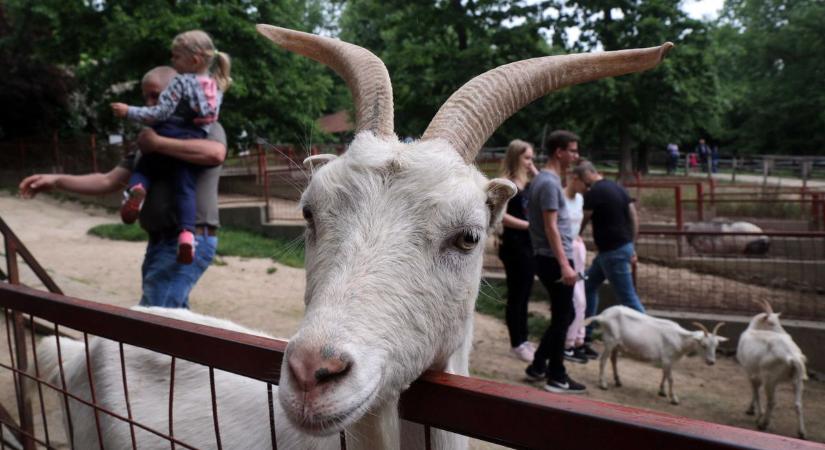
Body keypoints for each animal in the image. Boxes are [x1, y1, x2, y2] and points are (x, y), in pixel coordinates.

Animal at [584, 306, 724, 404]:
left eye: (716, 345)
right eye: (703, 345)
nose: (711, 362)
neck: (680, 339)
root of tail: (603, 316)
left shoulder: (668, 360)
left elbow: (664, 374)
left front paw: (662, 391)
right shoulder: (667, 358)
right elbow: (671, 379)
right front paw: (674, 398)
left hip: (616, 344)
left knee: (613, 360)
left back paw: (618, 381)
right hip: (610, 340)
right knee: (603, 360)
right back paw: (603, 384)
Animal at [732, 300, 804, 438]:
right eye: (771, 323)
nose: (786, 334)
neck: (753, 330)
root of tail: (792, 357)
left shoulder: (750, 372)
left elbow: (755, 392)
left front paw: (755, 413)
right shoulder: (756, 375)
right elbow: (756, 390)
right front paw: (751, 409)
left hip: (770, 379)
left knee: (772, 402)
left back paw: (763, 424)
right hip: (798, 380)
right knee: (798, 404)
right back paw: (801, 433)